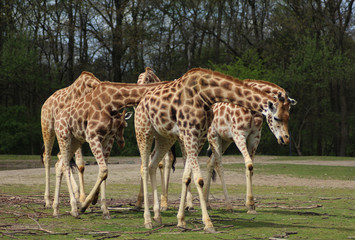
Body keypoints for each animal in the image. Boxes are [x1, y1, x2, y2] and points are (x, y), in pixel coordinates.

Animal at [40, 71, 101, 208]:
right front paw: (83, 199)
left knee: (60, 156)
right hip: (48, 129)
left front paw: (88, 198)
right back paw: (48, 200)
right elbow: (80, 164)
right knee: (47, 156)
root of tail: (45, 103)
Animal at [52, 79, 170, 218]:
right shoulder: (93, 136)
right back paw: (74, 209)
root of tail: (56, 119)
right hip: (63, 136)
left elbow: (104, 171)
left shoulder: (107, 138)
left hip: (75, 140)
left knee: (59, 165)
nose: (122, 143)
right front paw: (84, 205)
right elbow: (104, 170)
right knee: (65, 166)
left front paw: (104, 209)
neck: (112, 100)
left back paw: (55, 209)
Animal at [203, 79, 298, 213]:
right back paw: (228, 205)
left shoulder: (254, 137)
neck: (252, 109)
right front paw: (250, 204)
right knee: (218, 164)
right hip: (213, 135)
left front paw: (251, 205)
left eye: (288, 117)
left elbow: (251, 167)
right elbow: (249, 164)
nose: (285, 139)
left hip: (224, 140)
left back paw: (207, 203)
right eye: (276, 118)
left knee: (210, 162)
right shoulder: (239, 135)